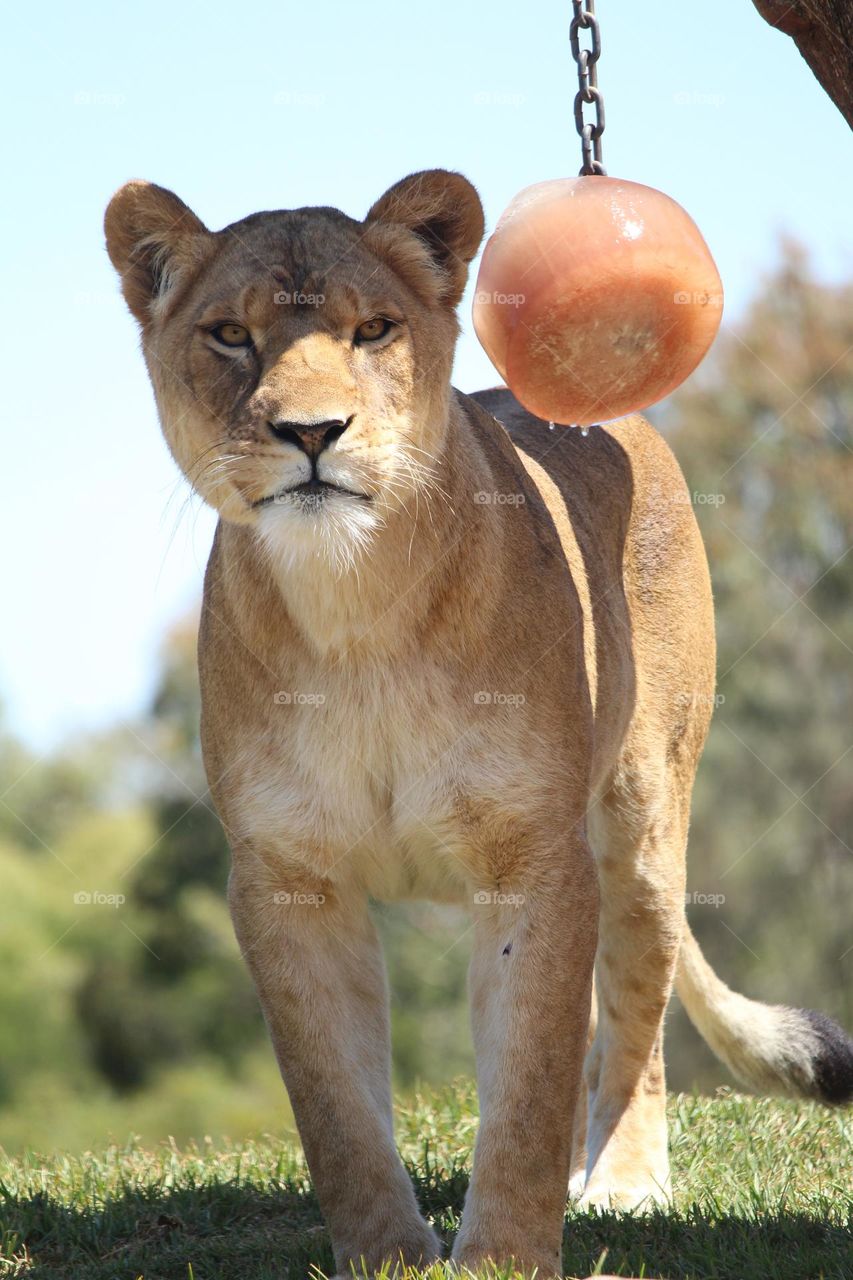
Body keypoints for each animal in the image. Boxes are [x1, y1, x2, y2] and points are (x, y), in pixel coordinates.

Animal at [105, 169, 853, 1278]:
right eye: (230, 335)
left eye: (373, 328)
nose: (311, 433)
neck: (354, 610)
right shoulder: (285, 874)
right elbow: (334, 1100)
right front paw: (385, 1254)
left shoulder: (534, 854)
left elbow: (529, 1084)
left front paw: (503, 1255)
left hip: (642, 820)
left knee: (633, 1008)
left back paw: (623, 1183)